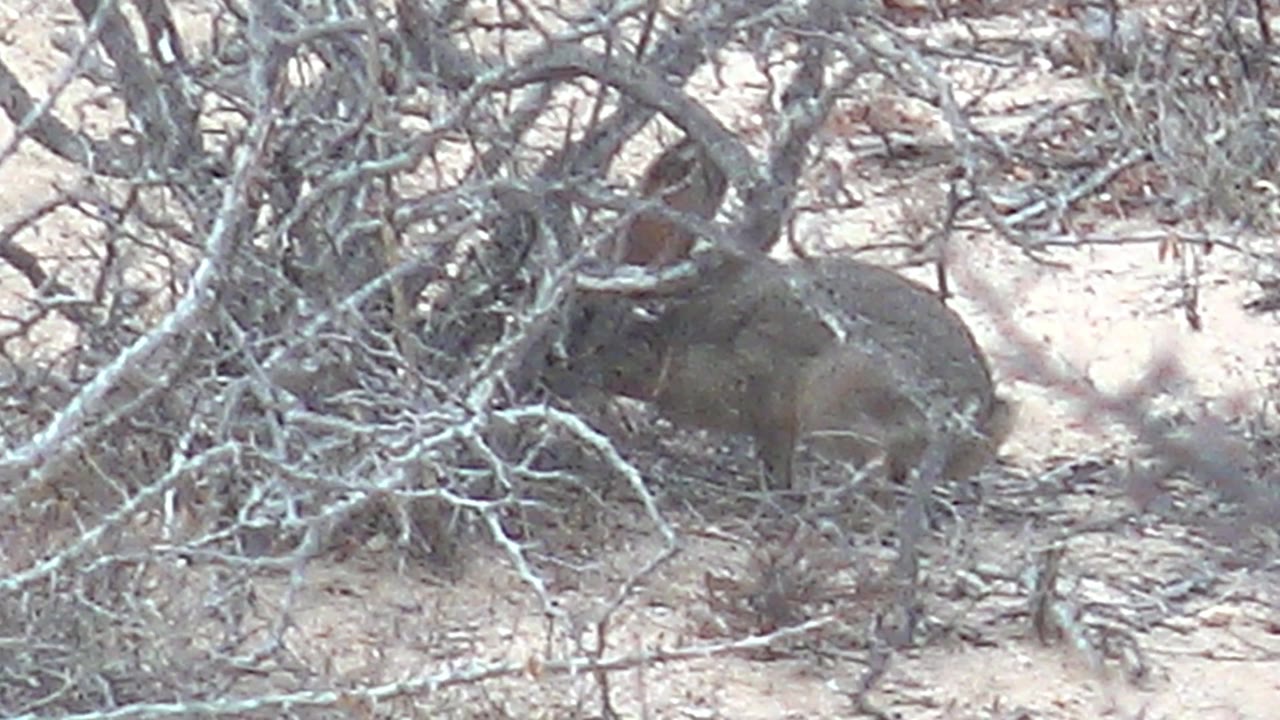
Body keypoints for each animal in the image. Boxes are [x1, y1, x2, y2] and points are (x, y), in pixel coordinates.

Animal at [565, 137, 1011, 489]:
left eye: (585, 323)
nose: (564, 372)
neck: (669, 338)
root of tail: (972, 416)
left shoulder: (769, 397)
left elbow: (775, 452)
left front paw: (776, 489)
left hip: (836, 394)